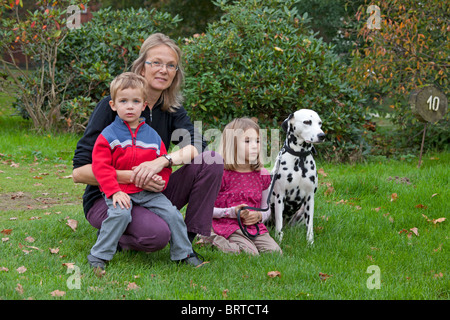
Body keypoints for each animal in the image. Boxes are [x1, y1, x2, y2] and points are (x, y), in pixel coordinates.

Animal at [268, 109, 326, 244]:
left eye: (320, 123)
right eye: (307, 122)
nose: (322, 135)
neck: (299, 157)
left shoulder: (310, 198)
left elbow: (310, 226)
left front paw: (310, 242)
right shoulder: (280, 197)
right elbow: (279, 223)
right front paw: (279, 239)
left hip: (302, 210)